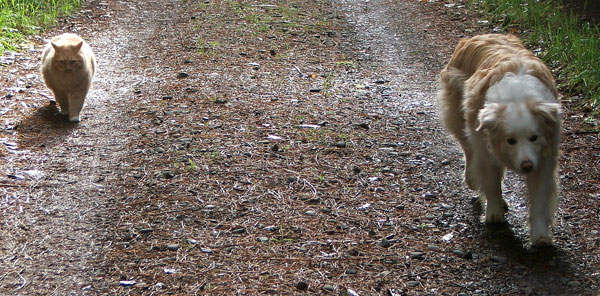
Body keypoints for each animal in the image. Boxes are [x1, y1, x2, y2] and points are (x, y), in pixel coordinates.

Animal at [438, 34, 560, 246]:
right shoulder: (485, 150)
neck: (518, 99)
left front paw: (540, 235)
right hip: (461, 121)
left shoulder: (544, 160)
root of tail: (477, 36)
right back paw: (472, 179)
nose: (527, 166)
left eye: (534, 137)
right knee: (469, 151)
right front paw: (493, 213)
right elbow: (491, 182)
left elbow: (540, 200)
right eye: (510, 140)